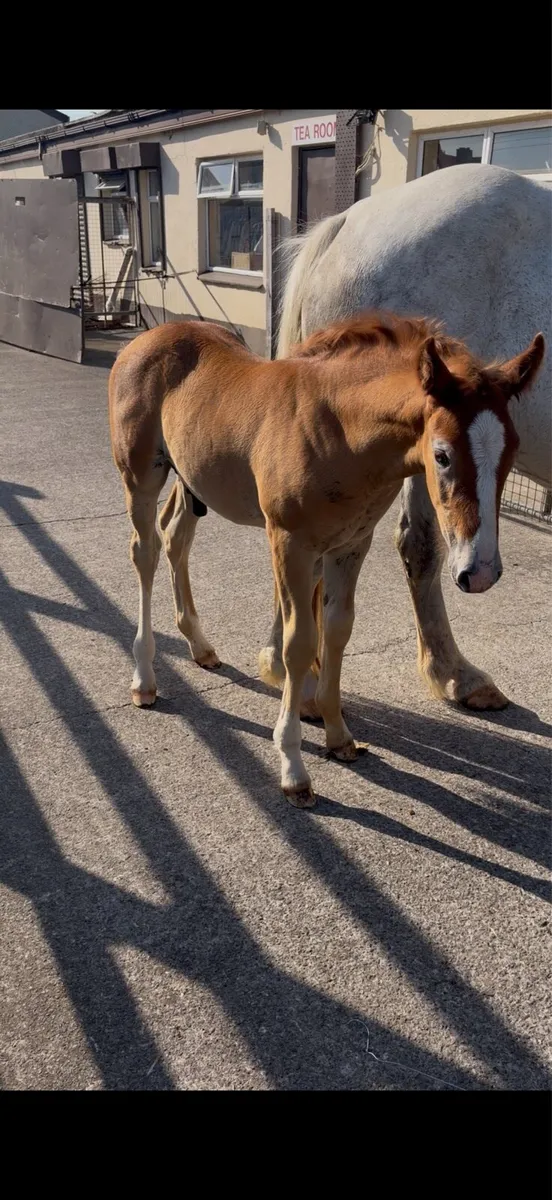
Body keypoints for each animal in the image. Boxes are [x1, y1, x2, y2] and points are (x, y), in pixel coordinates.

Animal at [108, 311, 544, 807]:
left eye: (511, 452)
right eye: (443, 456)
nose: (482, 571)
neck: (340, 433)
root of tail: (143, 339)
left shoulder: (350, 545)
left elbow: (337, 632)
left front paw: (339, 738)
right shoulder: (290, 543)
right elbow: (299, 644)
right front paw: (294, 768)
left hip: (191, 479)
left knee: (176, 537)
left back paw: (200, 647)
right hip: (140, 475)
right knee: (145, 553)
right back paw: (145, 680)